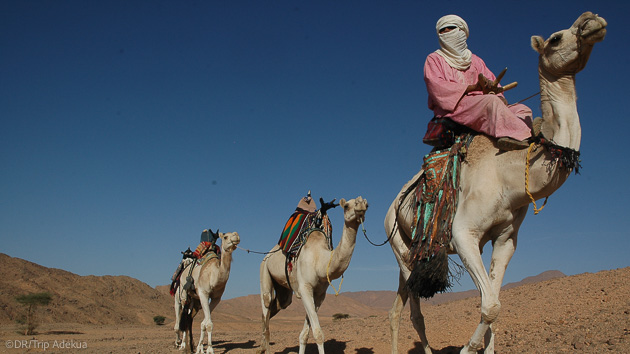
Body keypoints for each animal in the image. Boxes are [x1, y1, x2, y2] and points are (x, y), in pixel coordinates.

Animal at [260, 196, 370, 354]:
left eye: (367, 205)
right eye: (346, 206)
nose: (360, 204)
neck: (320, 260)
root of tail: (268, 254)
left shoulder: (319, 294)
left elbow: (305, 334)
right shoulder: (305, 288)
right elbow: (318, 333)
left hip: (283, 289)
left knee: (280, 304)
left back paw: (261, 346)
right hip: (264, 269)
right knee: (267, 303)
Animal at [386, 11, 608, 354]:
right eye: (556, 38)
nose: (591, 20)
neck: (509, 173)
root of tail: (391, 206)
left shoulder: (505, 239)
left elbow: (492, 301)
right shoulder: (464, 233)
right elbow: (490, 305)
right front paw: (467, 349)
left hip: (408, 251)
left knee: (398, 307)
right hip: (398, 243)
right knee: (416, 309)